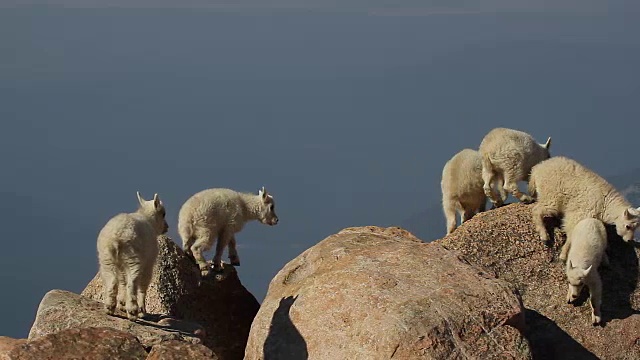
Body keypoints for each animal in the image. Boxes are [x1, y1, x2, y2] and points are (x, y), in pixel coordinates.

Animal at [96, 191, 168, 320]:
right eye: (163, 214)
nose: (166, 227)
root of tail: (117, 237)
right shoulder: (149, 262)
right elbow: (143, 284)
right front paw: (142, 310)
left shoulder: (120, 264)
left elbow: (122, 280)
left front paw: (122, 304)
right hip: (132, 257)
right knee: (133, 282)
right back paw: (133, 311)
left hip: (107, 257)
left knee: (112, 279)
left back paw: (110, 307)